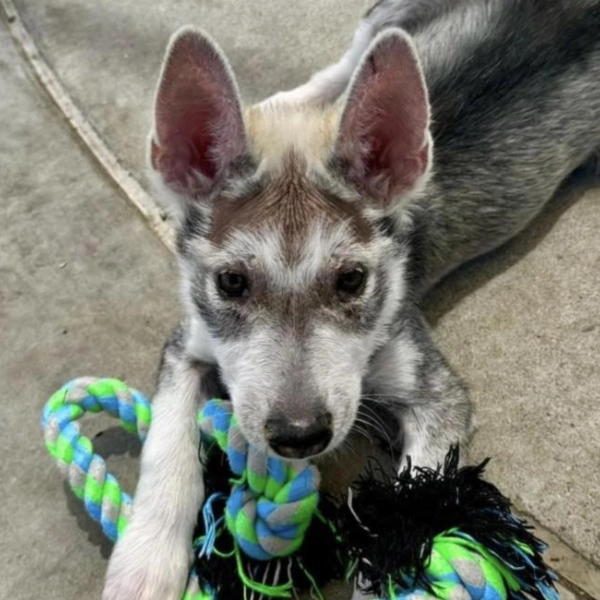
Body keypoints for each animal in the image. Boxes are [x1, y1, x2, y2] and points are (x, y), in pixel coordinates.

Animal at [103, 2, 600, 596]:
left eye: (352, 281)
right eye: (231, 283)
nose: (299, 435)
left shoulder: (437, 390)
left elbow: (412, 510)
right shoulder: (187, 343)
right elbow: (166, 442)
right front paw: (144, 561)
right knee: (346, 60)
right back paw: (282, 104)